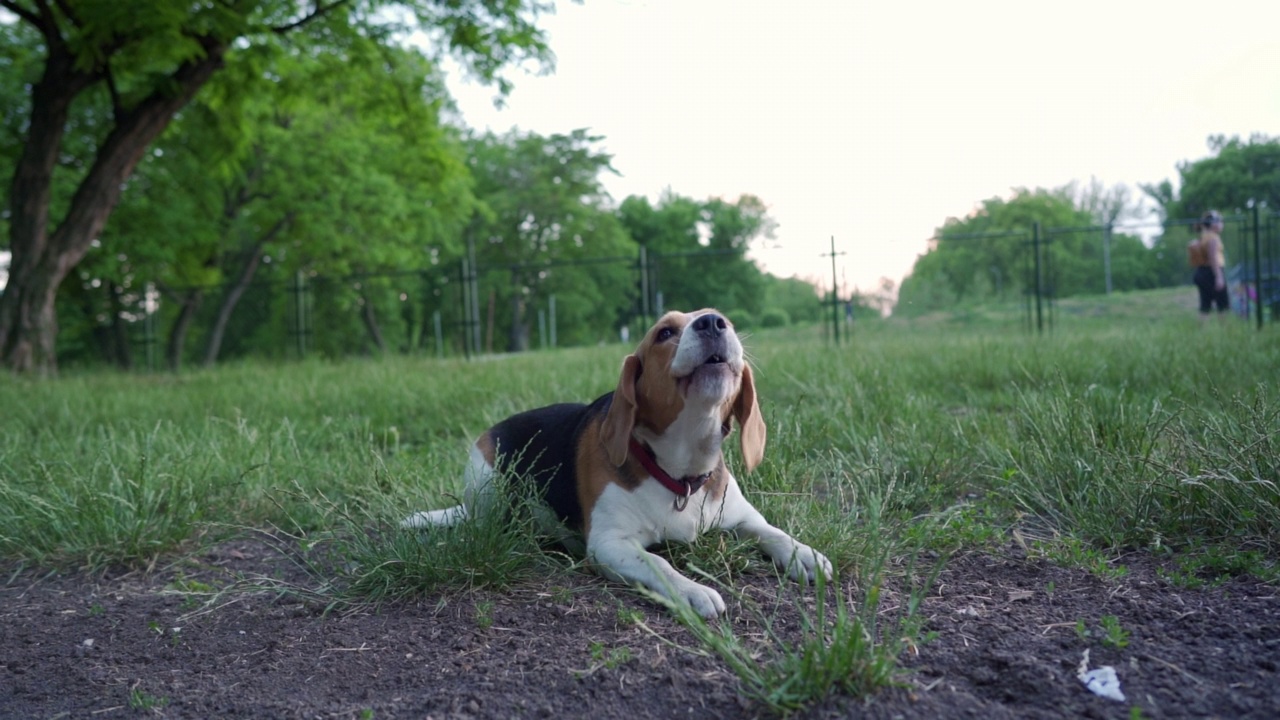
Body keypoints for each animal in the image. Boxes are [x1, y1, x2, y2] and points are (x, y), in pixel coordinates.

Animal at [404, 304, 834, 614]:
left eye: (724, 319)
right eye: (664, 333)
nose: (713, 323)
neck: (679, 473)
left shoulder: (741, 516)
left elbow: (771, 531)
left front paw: (804, 554)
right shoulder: (610, 544)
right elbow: (659, 564)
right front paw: (693, 591)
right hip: (486, 479)